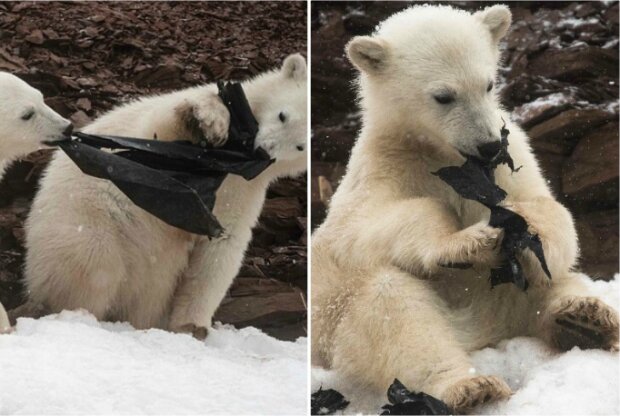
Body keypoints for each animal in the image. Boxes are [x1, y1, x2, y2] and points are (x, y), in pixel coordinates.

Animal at [20, 53, 306, 338]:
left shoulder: (246, 190)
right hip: (88, 220)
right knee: (94, 263)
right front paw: (207, 120)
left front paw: (193, 326)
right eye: (282, 115)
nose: (263, 150)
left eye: (300, 145)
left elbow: (220, 247)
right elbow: (161, 132)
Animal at [312, 4, 616, 414]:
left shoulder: (511, 155)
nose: (488, 145)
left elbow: (547, 208)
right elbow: (357, 230)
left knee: (551, 283)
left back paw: (585, 318)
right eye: (443, 96)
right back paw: (470, 386)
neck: (443, 154)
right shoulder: (383, 166)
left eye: (488, 84)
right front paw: (465, 243)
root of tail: (481, 329)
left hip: (509, 292)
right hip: (341, 317)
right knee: (393, 309)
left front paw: (525, 224)